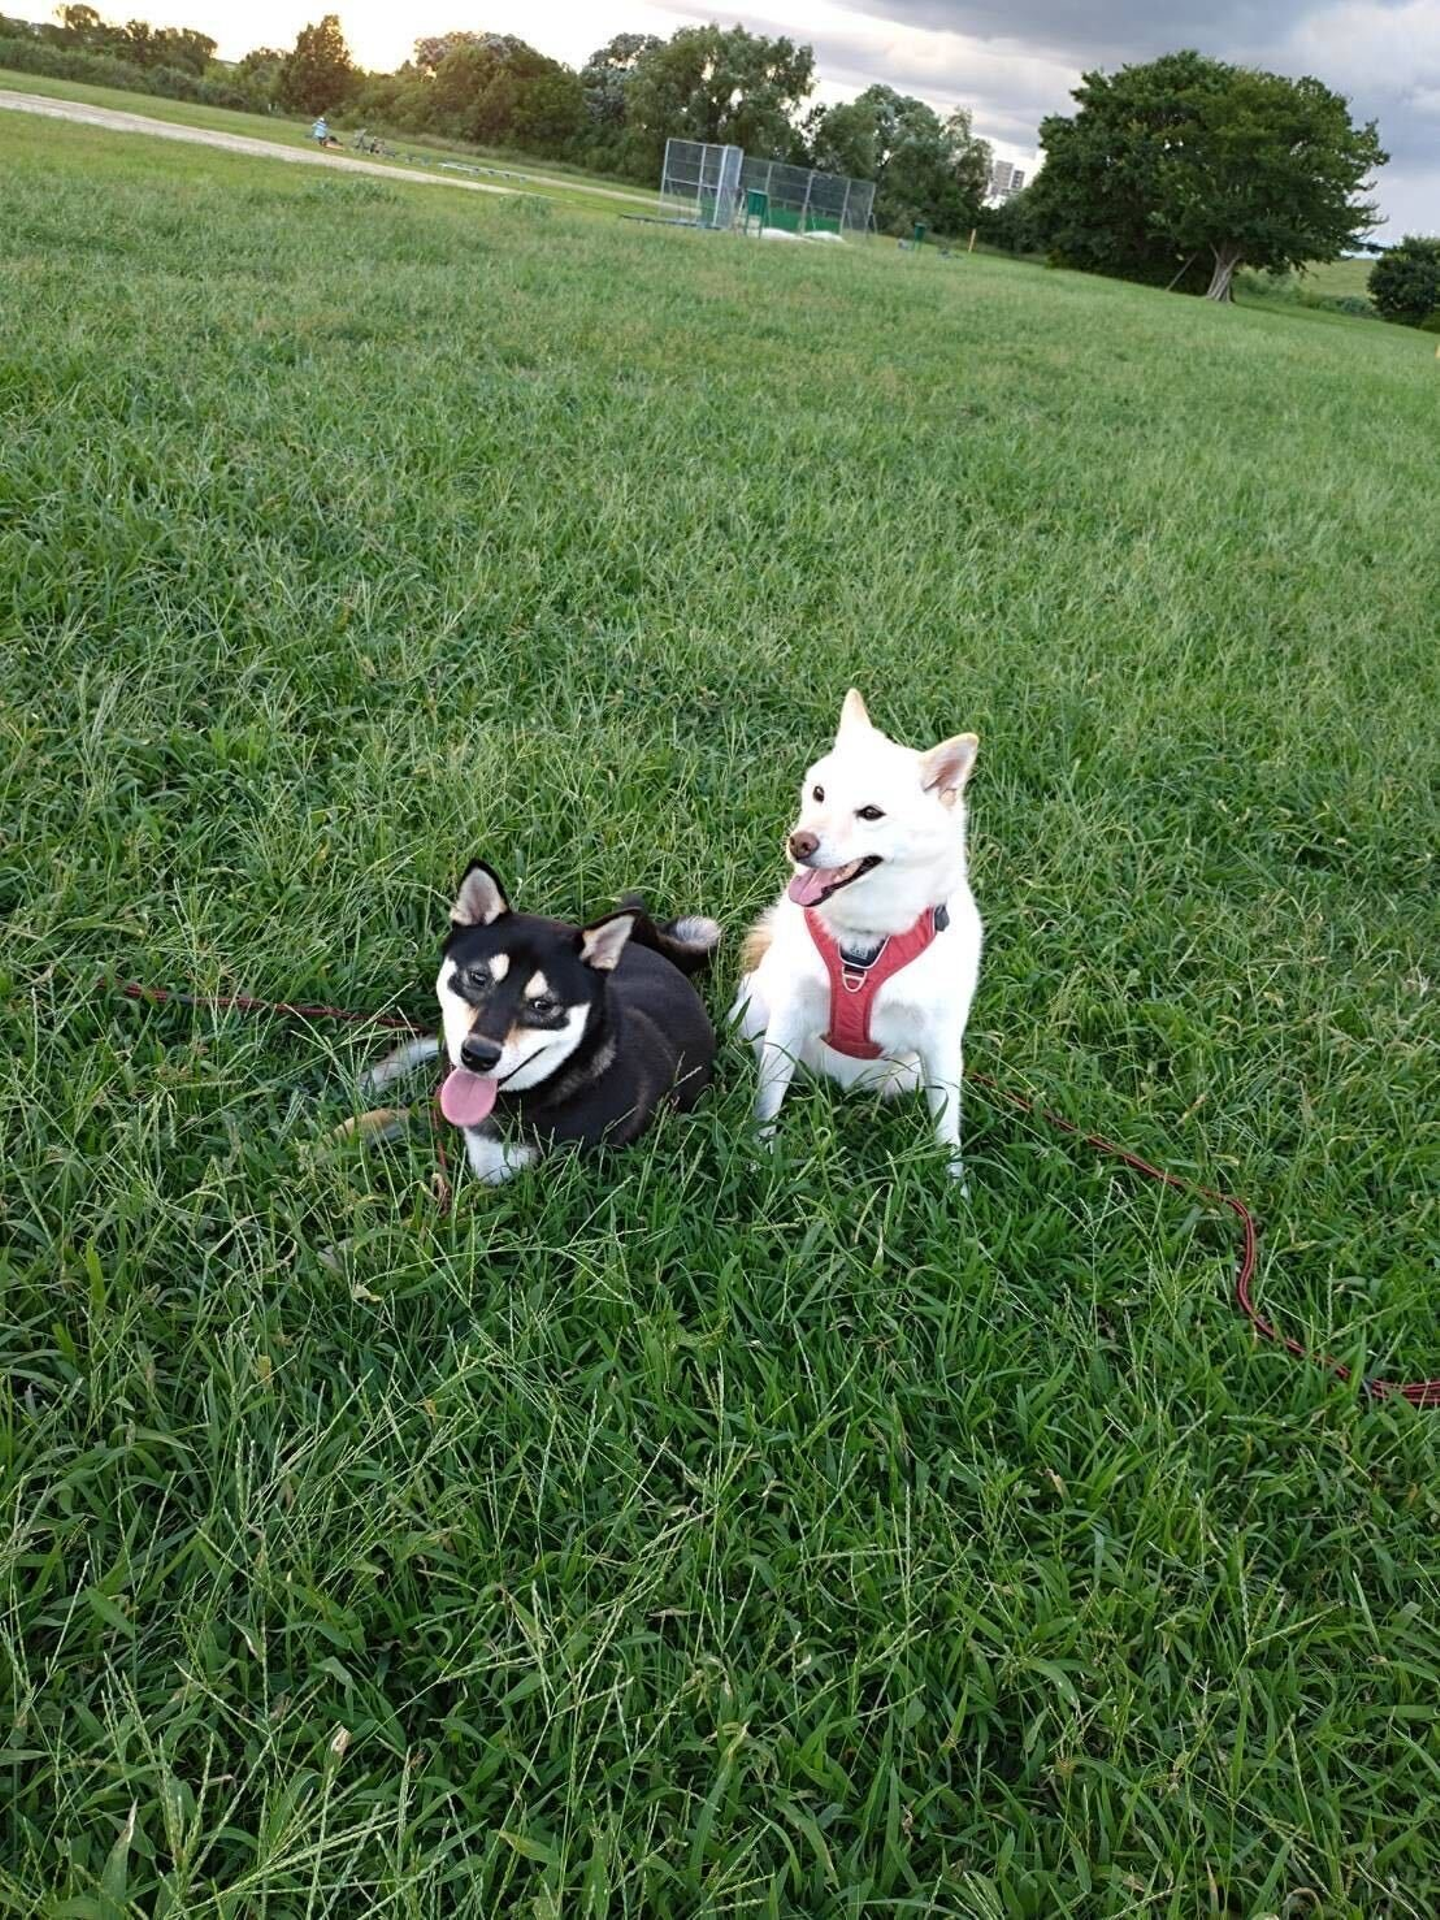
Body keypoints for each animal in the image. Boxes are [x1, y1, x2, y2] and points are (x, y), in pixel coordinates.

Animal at [368, 865, 720, 1183]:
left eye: (543, 1005)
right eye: (478, 977)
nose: (478, 1056)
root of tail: (666, 957)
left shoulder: (492, 1176)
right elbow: (378, 1117)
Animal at [730, 690, 982, 1181]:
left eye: (870, 814)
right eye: (819, 793)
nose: (800, 842)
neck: (863, 939)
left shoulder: (941, 1046)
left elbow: (948, 1132)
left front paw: (954, 1190)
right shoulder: (787, 1019)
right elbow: (768, 1098)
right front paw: (759, 1155)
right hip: (752, 1017)